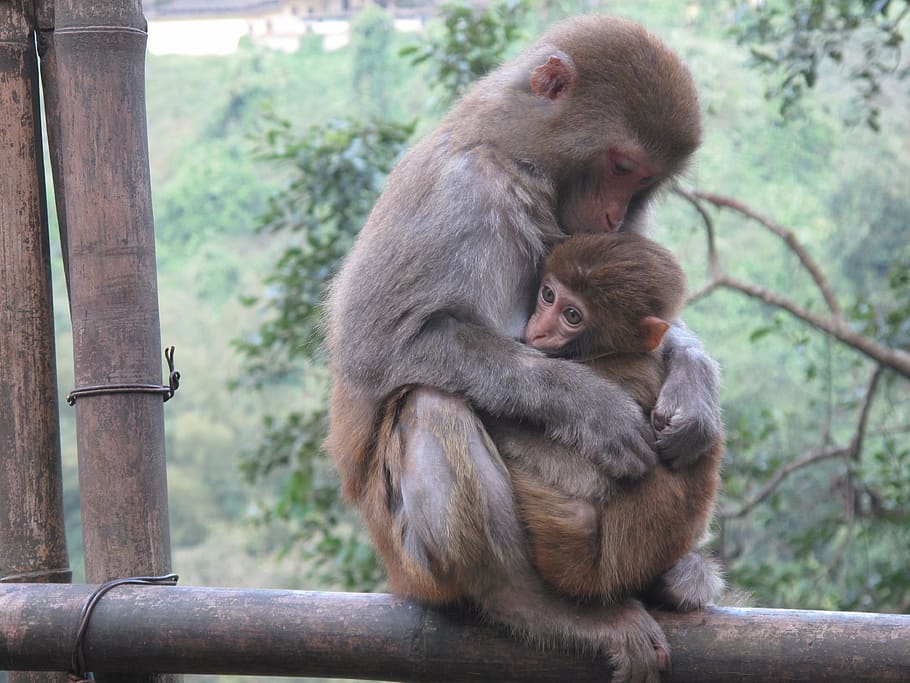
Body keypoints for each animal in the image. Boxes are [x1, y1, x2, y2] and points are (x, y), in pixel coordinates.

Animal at [495, 232, 724, 607]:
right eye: (548, 295)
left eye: (572, 315)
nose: (539, 331)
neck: (607, 352)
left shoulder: (618, 376)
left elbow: (592, 481)